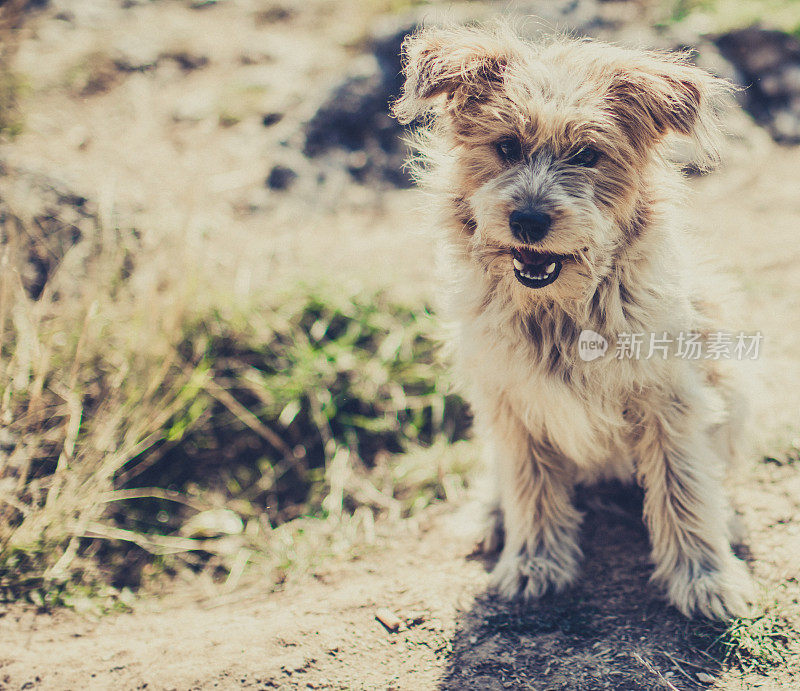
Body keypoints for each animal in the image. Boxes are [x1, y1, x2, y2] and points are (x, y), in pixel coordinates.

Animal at [394, 24, 756, 620]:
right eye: (506, 147)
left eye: (587, 154)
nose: (529, 220)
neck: (560, 312)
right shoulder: (512, 403)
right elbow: (529, 486)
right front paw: (534, 564)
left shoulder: (670, 399)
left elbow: (683, 488)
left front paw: (706, 579)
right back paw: (490, 516)